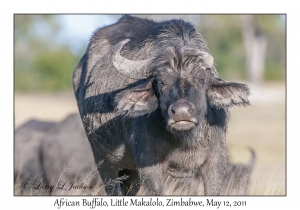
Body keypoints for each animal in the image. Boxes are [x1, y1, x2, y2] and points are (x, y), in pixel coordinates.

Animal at [72, 15, 251, 196]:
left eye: (201, 79)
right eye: (161, 82)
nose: (181, 112)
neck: (184, 140)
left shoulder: (215, 162)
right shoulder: (148, 165)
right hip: (103, 160)